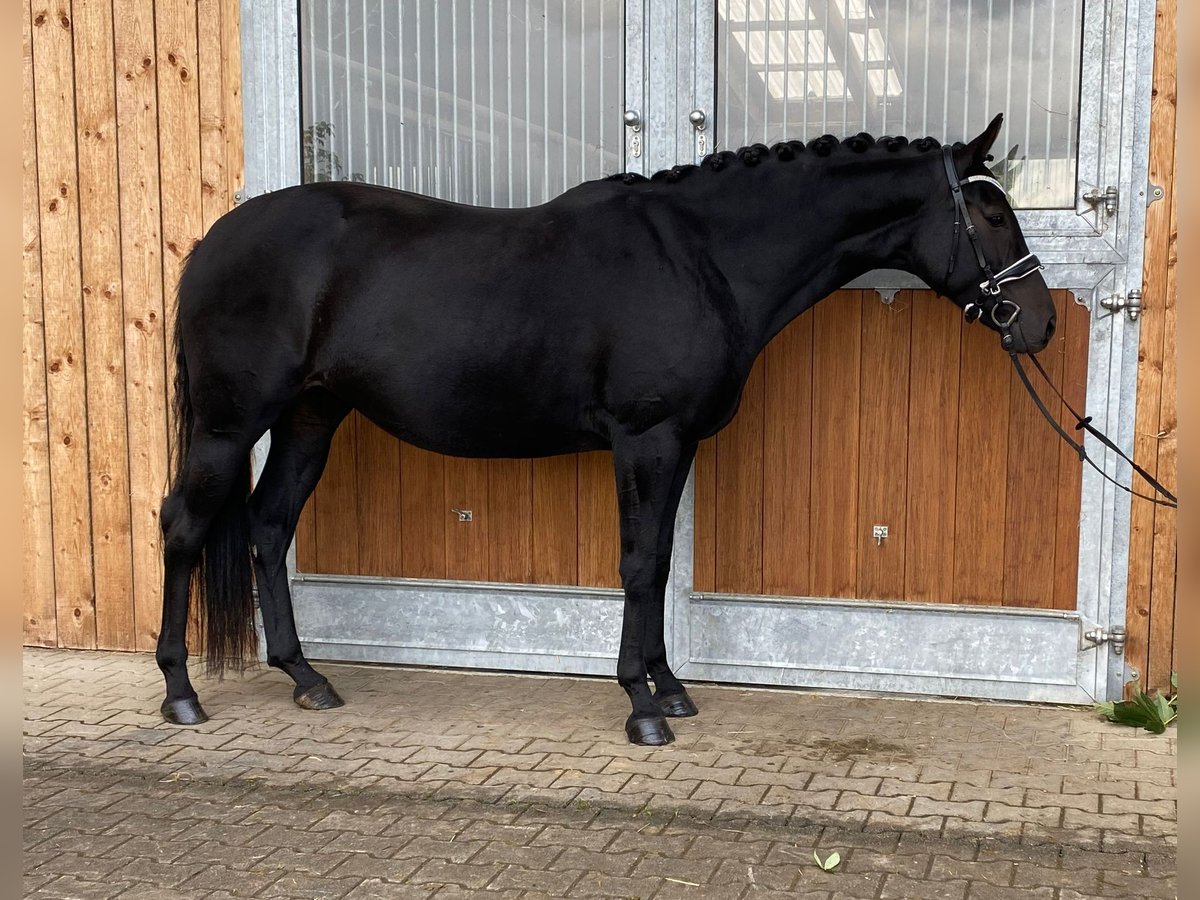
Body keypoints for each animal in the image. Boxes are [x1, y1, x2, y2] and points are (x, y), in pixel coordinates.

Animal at [157, 114, 1051, 748]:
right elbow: (637, 563)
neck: (702, 256)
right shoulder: (645, 437)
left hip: (311, 415)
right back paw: (180, 692)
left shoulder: (679, 441)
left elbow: (658, 564)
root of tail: (213, 242)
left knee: (269, 527)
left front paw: (670, 690)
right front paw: (640, 707)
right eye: (990, 212)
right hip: (230, 424)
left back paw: (306, 678)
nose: (1037, 323)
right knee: (184, 528)